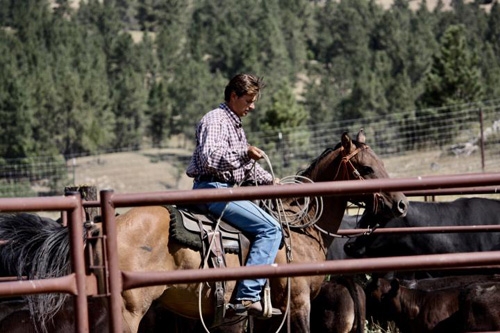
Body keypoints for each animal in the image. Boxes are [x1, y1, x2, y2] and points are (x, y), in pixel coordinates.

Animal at [114, 130, 410, 332]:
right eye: (366, 168)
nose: (402, 203)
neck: (301, 229)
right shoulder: (298, 303)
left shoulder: (272, 315)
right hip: (129, 312)